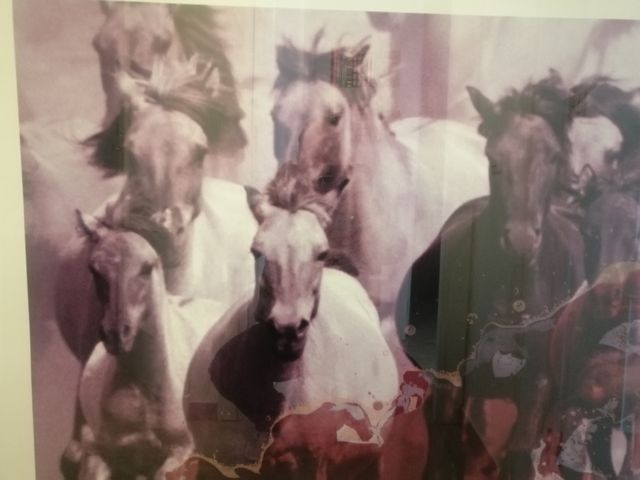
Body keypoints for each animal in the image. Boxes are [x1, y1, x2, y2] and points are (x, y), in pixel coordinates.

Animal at [404, 72, 587, 479]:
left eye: (554, 157)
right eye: (493, 157)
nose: (520, 240)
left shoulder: (537, 384)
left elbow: (519, 457)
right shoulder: (449, 378)